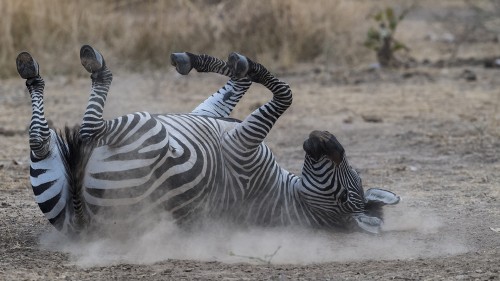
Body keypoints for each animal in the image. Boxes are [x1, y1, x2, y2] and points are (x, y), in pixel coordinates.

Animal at [14, 44, 398, 235]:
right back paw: (32, 74)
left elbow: (285, 93)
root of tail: (85, 222)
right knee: (40, 140)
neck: (289, 193)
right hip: (54, 188)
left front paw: (238, 64)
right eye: (353, 175)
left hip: (146, 132)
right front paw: (204, 60)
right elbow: (239, 84)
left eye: (346, 195)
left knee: (87, 130)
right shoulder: (211, 116)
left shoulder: (243, 143)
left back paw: (93, 67)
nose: (325, 137)